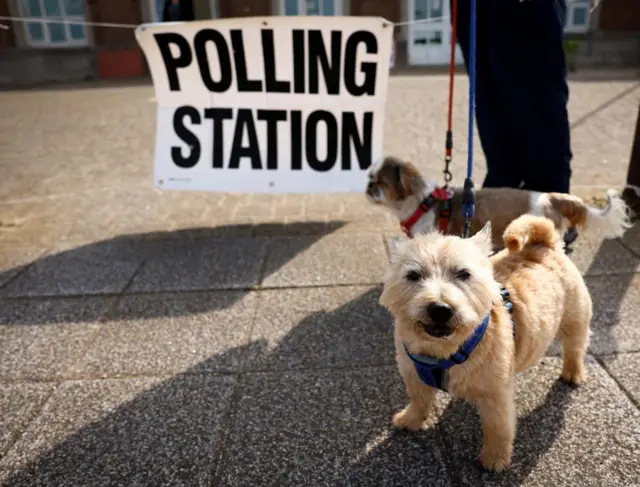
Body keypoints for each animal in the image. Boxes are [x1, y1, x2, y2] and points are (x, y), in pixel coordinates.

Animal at [378, 214, 592, 472]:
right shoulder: (413, 375)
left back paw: (573, 373)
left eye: (463, 274)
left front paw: (494, 459)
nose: (440, 309)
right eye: (413, 275)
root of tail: (543, 243)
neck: (444, 350)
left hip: (574, 318)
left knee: (575, 347)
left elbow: (497, 428)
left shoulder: (496, 395)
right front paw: (410, 420)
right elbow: (419, 400)